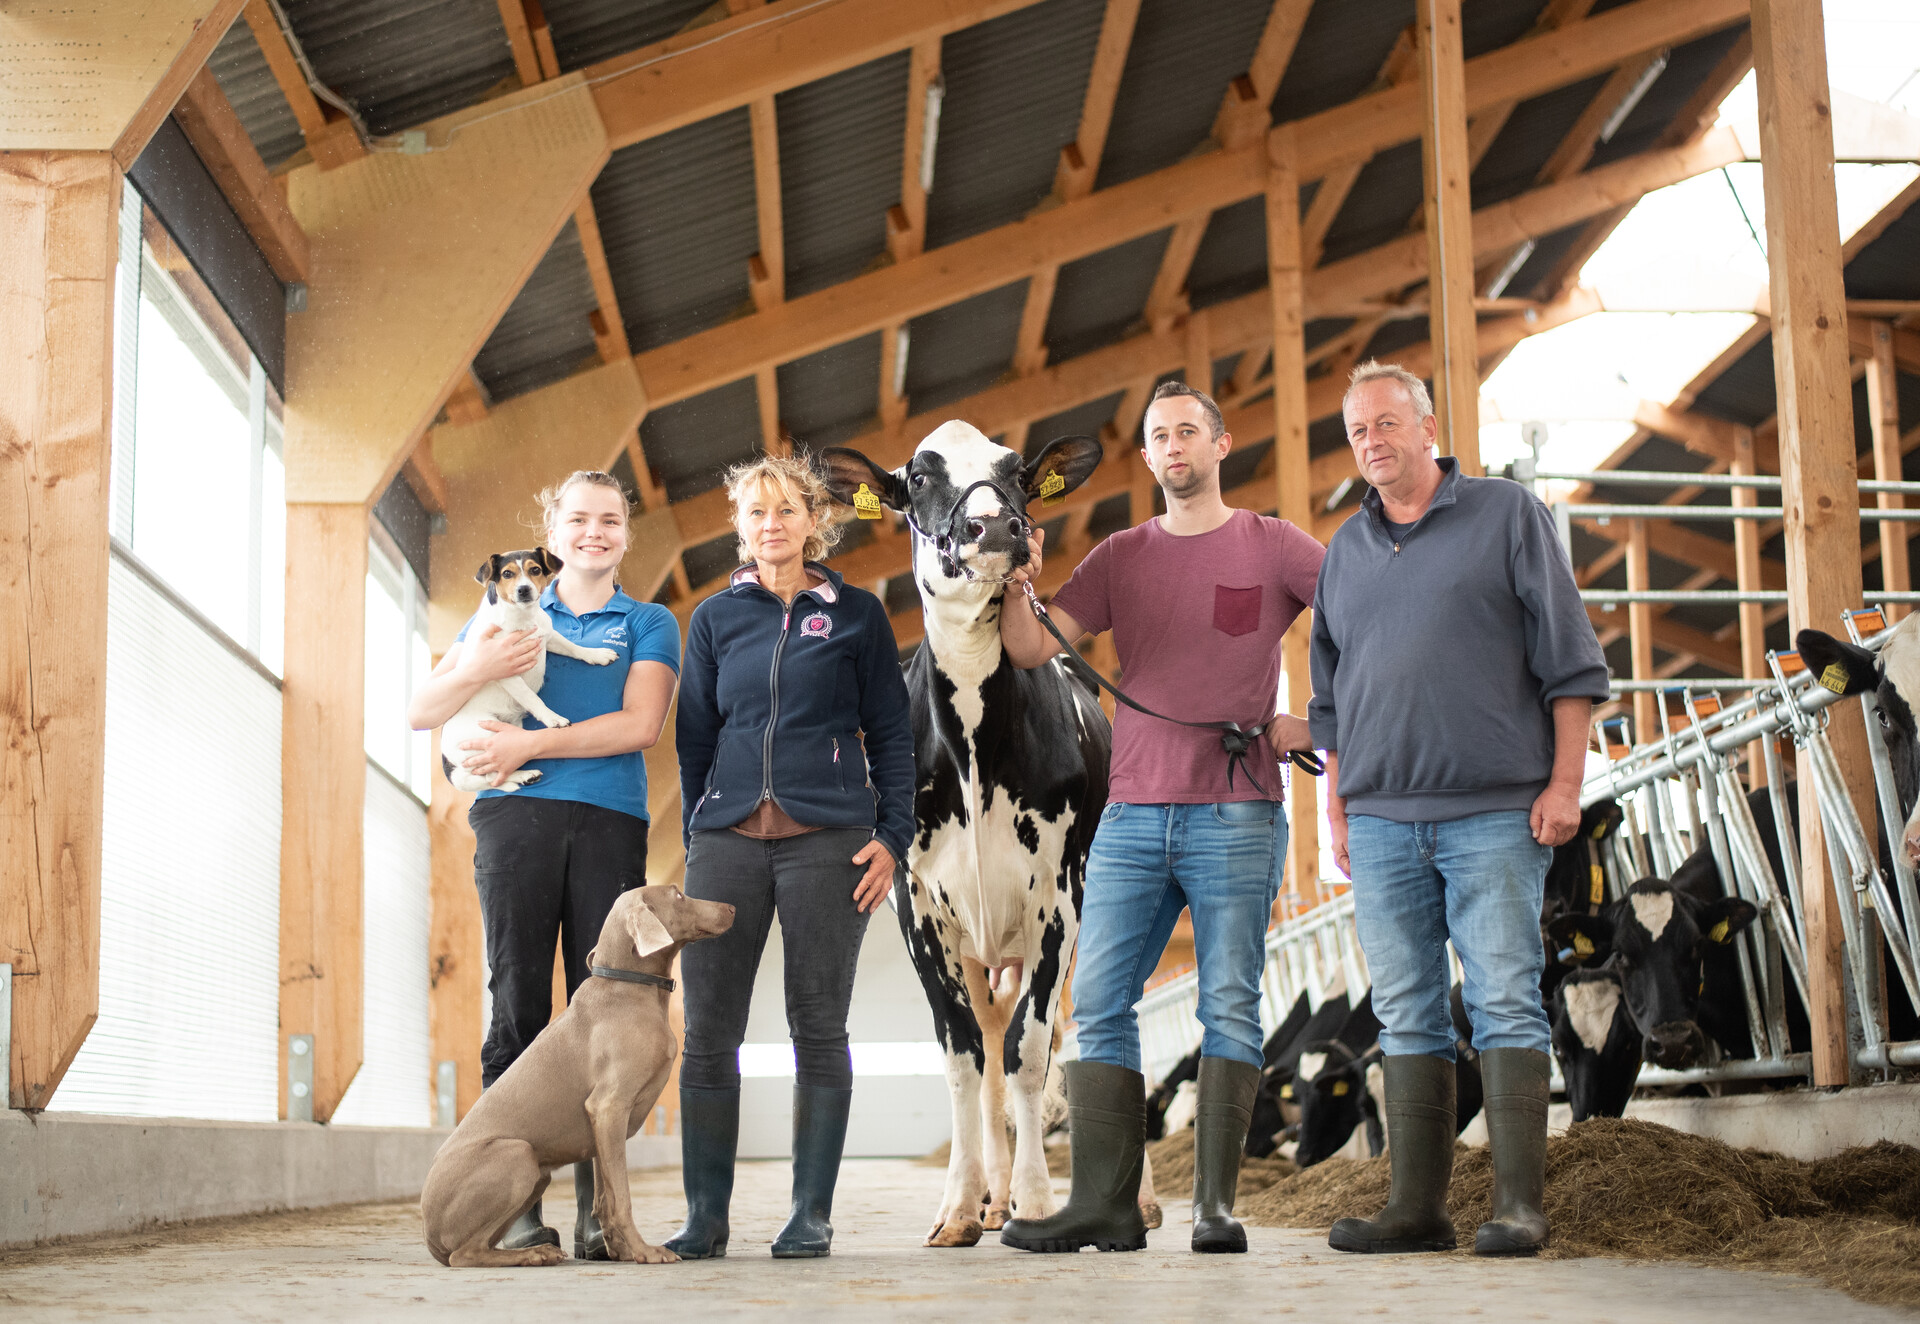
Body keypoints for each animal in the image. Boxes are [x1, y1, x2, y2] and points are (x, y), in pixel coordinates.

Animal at [422, 886, 737, 1267]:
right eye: (677, 895)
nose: (732, 907)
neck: (629, 986)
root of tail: (428, 1232)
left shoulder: (602, 1125)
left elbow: (605, 1198)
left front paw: (621, 1251)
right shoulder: (609, 1107)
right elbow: (622, 1198)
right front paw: (645, 1251)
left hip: (536, 1174)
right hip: (519, 1155)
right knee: (465, 1254)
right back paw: (534, 1253)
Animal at [442, 548, 619, 792]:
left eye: (534, 569)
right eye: (507, 574)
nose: (523, 589)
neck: (521, 618)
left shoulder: (549, 637)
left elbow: (573, 648)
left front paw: (596, 655)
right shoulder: (505, 670)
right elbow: (532, 698)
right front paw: (553, 719)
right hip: (486, 734)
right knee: (491, 776)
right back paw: (523, 775)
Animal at [818, 425, 1108, 1248]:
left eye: (1017, 473)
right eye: (918, 477)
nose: (997, 527)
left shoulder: (1057, 905)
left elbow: (1029, 1054)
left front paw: (1038, 1206)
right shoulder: (917, 908)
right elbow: (964, 1058)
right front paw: (958, 1208)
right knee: (987, 1044)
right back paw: (989, 1198)